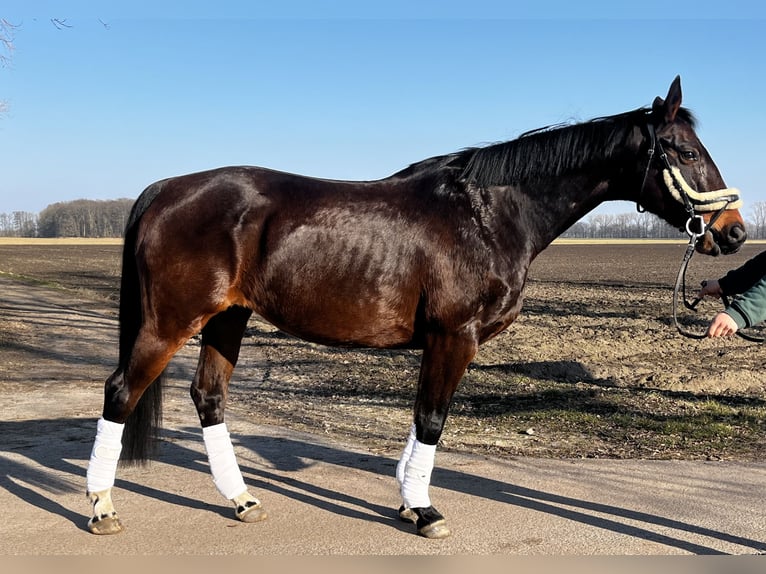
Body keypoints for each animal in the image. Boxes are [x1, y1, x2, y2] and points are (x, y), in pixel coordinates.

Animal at [87, 77, 748, 540]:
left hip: (228, 319)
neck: (487, 214)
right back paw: (101, 507)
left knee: (209, 398)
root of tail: (165, 189)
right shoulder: (455, 336)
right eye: (684, 151)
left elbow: (421, 419)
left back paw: (242, 500)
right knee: (121, 392)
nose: (735, 232)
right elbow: (432, 420)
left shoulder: (439, 342)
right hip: (170, 323)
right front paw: (426, 511)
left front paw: (409, 503)